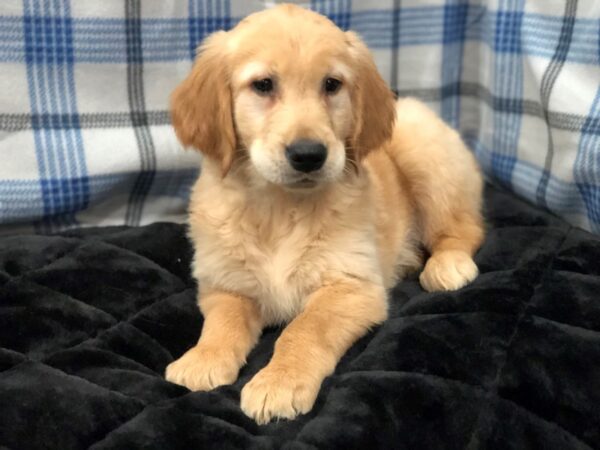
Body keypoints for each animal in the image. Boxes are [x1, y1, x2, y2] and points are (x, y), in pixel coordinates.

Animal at [164, 4, 482, 426]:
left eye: (332, 85)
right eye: (263, 85)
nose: (308, 155)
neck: (279, 208)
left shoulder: (351, 285)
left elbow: (303, 329)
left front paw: (279, 382)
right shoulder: (224, 283)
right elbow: (222, 322)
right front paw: (203, 359)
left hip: (426, 153)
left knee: (465, 227)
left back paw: (447, 265)